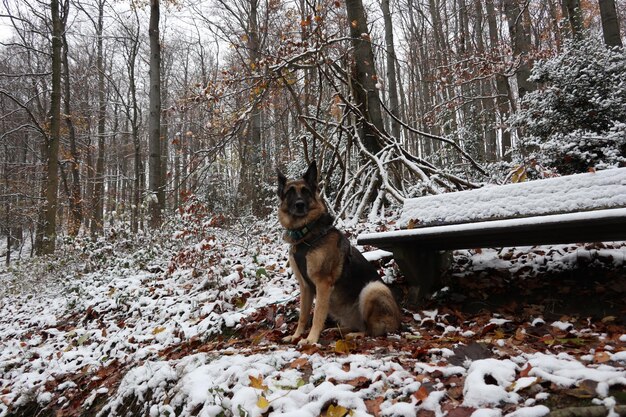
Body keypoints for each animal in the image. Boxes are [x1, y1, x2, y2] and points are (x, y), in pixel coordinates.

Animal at [276, 159, 400, 344]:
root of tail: (399, 322)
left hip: (373, 288)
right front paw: (296, 336)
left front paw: (311, 339)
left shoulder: (322, 284)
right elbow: (303, 316)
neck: (307, 234)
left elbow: (317, 314)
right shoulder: (305, 287)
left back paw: (356, 334)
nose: (300, 205)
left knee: (371, 330)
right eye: (290, 192)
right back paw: (337, 330)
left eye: (305, 192)